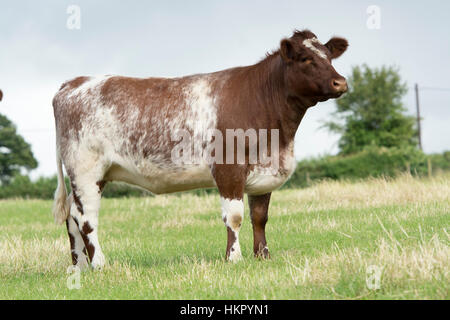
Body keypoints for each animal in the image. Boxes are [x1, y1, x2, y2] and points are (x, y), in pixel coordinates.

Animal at [51, 30, 348, 270]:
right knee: (86, 217)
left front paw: (263, 256)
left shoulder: (265, 173)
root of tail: (73, 83)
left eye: (329, 57)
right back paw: (100, 264)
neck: (279, 137)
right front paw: (233, 258)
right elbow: (235, 217)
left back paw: (79, 266)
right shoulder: (229, 169)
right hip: (86, 171)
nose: (341, 82)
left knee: (72, 216)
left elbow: (259, 217)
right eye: (305, 59)